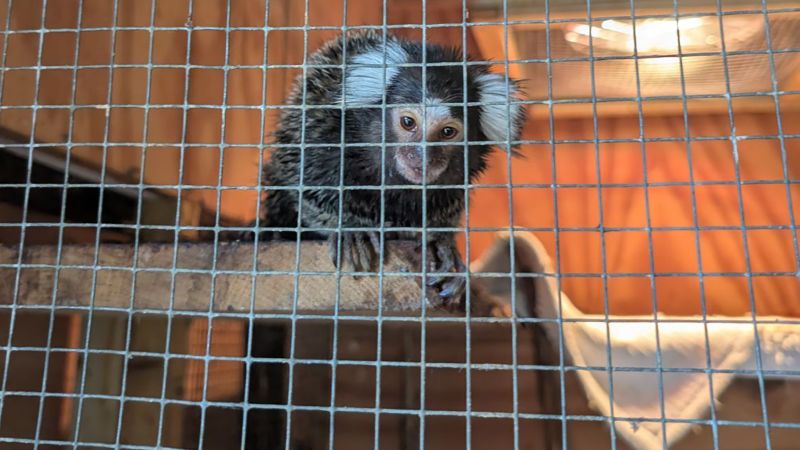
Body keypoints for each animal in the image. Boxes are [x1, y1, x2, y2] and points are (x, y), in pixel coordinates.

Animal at [254, 30, 525, 304]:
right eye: (408, 122)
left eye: (448, 132)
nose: (422, 157)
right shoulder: (321, 129)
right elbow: (307, 186)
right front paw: (350, 228)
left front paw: (441, 242)